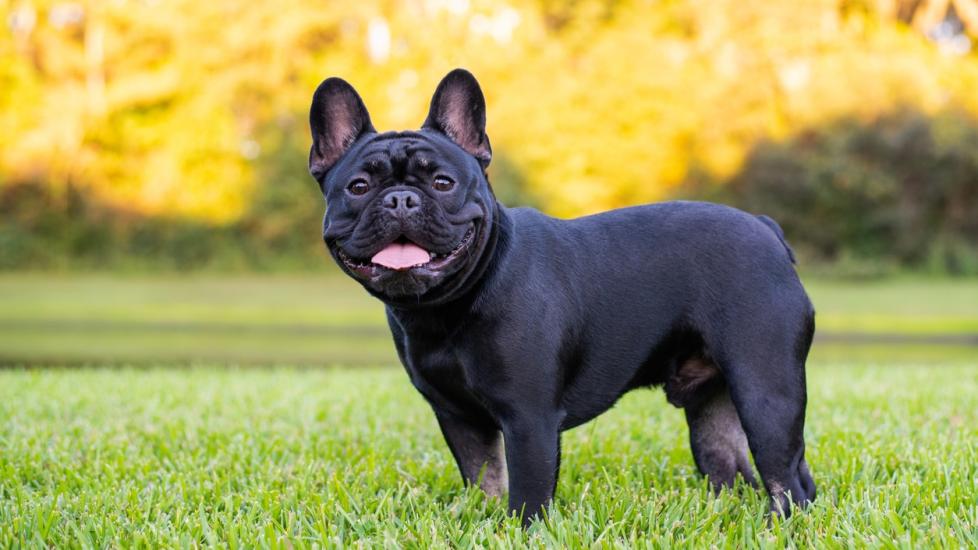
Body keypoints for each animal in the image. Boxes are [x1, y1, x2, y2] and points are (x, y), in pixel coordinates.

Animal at [308, 69, 812, 528]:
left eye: (443, 183)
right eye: (358, 187)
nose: (400, 199)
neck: (450, 303)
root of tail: (766, 229)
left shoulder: (529, 418)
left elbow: (528, 491)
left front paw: (522, 532)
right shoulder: (458, 417)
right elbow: (485, 478)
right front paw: (483, 518)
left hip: (766, 391)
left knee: (787, 477)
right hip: (711, 406)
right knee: (734, 466)